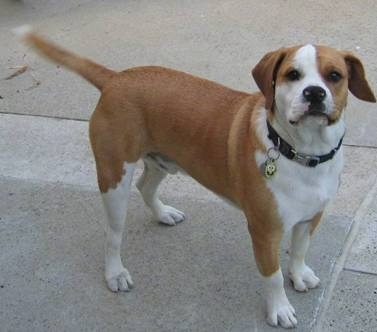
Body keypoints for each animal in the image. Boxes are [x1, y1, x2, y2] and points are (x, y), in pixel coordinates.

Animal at [13, 24, 374, 328]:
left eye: (334, 75)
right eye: (293, 75)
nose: (314, 93)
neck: (301, 153)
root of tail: (117, 78)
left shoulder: (312, 216)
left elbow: (299, 251)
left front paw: (298, 275)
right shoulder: (264, 230)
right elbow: (271, 275)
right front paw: (280, 308)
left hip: (162, 161)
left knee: (146, 187)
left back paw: (163, 214)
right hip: (114, 177)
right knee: (113, 233)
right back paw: (115, 272)